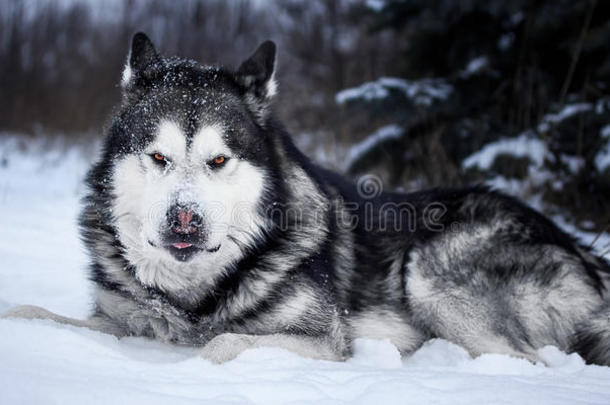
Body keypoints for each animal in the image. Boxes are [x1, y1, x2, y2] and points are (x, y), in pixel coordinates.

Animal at [4, 33, 608, 364]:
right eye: (158, 157)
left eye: (219, 161)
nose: (185, 220)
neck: (196, 291)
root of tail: (583, 250)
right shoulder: (118, 319)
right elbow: (35, 312)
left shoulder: (324, 339)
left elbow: (221, 344)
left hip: (432, 277)